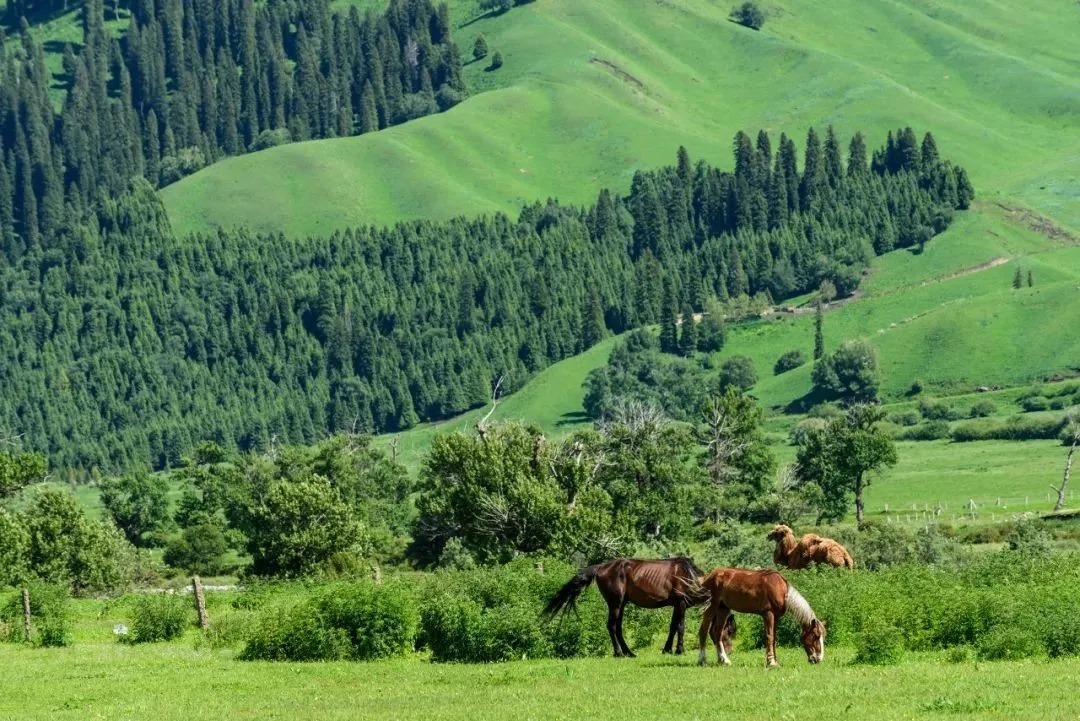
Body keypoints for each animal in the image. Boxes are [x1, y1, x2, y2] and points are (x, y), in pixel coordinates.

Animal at [544, 556, 738, 660]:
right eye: (728, 631)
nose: (729, 651)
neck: (689, 577)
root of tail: (601, 567)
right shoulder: (681, 604)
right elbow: (681, 627)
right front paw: (679, 650)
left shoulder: (676, 605)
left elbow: (672, 627)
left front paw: (667, 649)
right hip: (615, 603)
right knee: (612, 626)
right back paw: (619, 653)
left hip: (622, 604)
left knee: (618, 628)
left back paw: (629, 652)